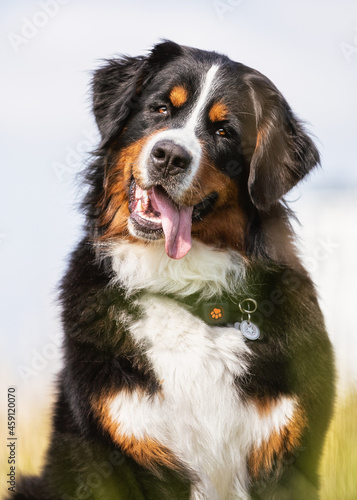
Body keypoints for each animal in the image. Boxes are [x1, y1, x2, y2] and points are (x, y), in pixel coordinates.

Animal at [11, 41, 334, 498]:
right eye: (160, 108)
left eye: (224, 131)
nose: (169, 156)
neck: (185, 289)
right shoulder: (121, 453)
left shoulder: (285, 456)